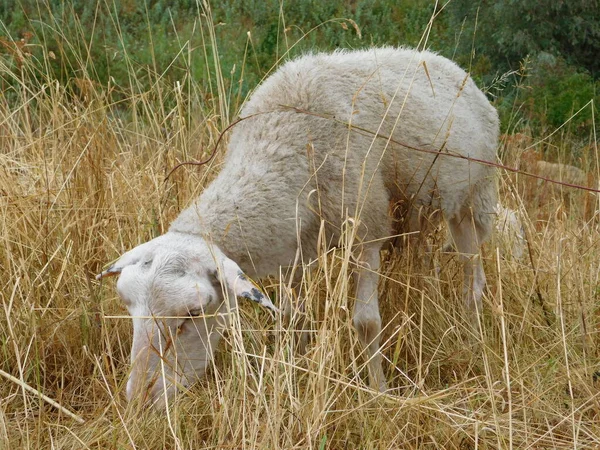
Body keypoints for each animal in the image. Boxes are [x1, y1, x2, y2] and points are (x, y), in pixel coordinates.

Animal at [96, 46, 500, 408]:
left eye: (194, 312)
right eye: (128, 306)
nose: (139, 401)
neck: (281, 146)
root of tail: (446, 63)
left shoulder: (366, 231)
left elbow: (366, 322)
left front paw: (378, 395)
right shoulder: (293, 252)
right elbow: (293, 319)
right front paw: (294, 374)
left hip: (474, 199)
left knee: (473, 277)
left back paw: (473, 337)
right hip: (419, 211)